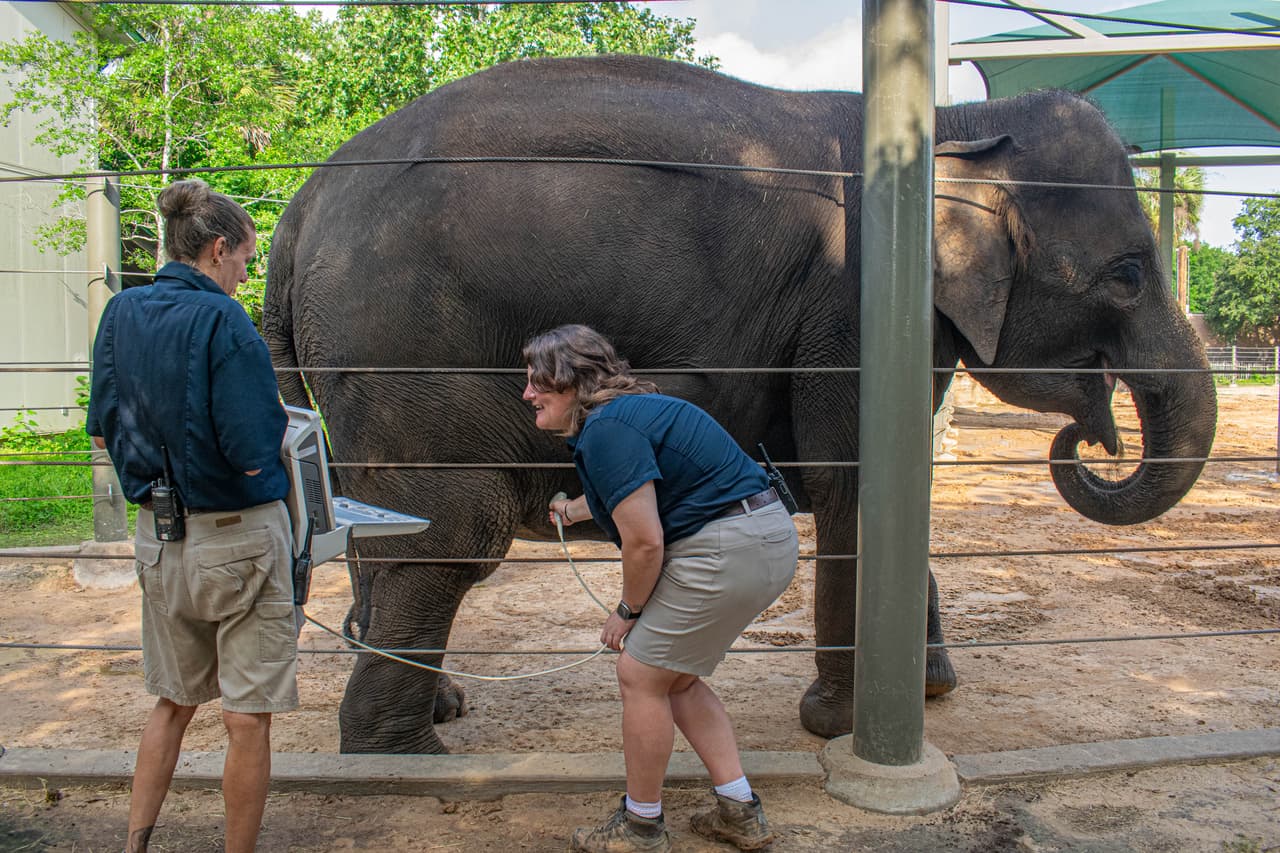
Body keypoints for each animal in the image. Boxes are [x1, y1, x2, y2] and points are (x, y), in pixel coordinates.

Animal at [263, 55, 1217, 753]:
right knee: (453, 531)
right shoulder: (851, 304)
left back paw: (440, 708)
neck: (959, 126)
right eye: (1129, 275)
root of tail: (300, 206)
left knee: (378, 522)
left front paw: (929, 689)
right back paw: (399, 753)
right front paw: (837, 723)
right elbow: (852, 481)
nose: (1085, 440)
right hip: (408, 348)